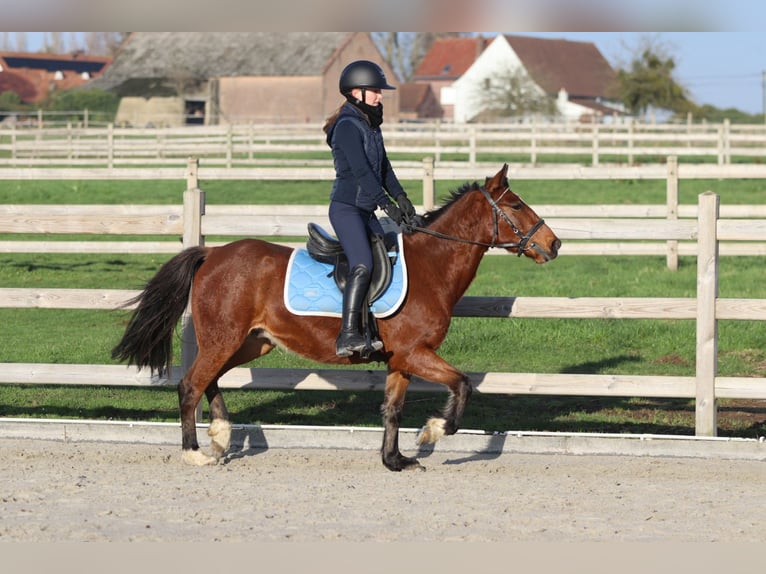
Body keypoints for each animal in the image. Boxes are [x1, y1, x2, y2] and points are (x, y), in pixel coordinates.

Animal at [111, 164, 561, 471]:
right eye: (515, 205)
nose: (554, 243)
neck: (431, 266)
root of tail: (212, 253)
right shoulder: (415, 353)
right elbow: (463, 385)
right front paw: (433, 430)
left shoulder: (401, 360)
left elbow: (392, 409)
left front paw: (394, 460)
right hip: (224, 339)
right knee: (191, 384)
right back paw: (195, 452)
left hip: (251, 343)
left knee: (210, 380)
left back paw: (221, 437)